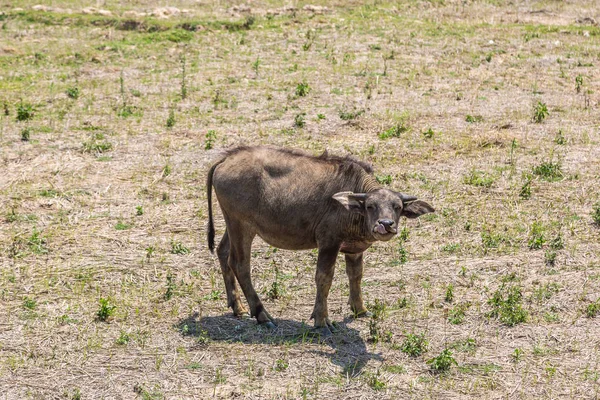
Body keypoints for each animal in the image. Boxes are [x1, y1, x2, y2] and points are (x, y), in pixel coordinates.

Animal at [206, 145, 432, 336]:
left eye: (397, 207)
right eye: (370, 206)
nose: (385, 224)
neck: (349, 205)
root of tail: (228, 157)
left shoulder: (354, 250)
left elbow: (356, 275)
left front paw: (360, 309)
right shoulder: (329, 242)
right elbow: (324, 278)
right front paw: (322, 320)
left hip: (232, 225)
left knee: (222, 252)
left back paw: (238, 307)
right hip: (242, 226)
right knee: (239, 264)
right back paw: (262, 315)